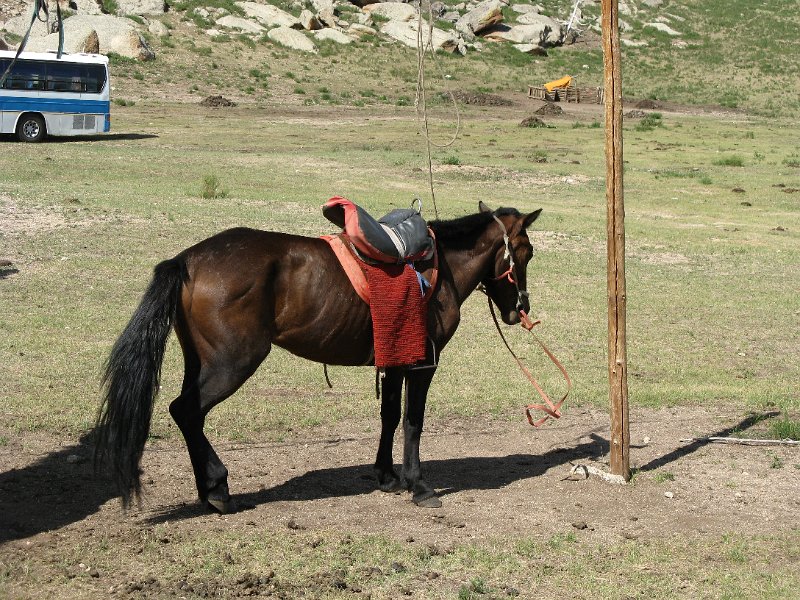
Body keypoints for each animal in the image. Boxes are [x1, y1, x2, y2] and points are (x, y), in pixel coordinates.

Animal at [95, 202, 544, 510]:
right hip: (232, 364)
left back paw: (210, 489)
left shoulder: (395, 360)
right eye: (525, 253)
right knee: (186, 410)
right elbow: (413, 422)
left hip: (200, 361)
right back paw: (218, 488)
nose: (519, 309)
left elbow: (390, 416)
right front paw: (418, 485)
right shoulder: (423, 364)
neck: (440, 270)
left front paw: (386, 475)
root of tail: (187, 260)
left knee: (188, 414)